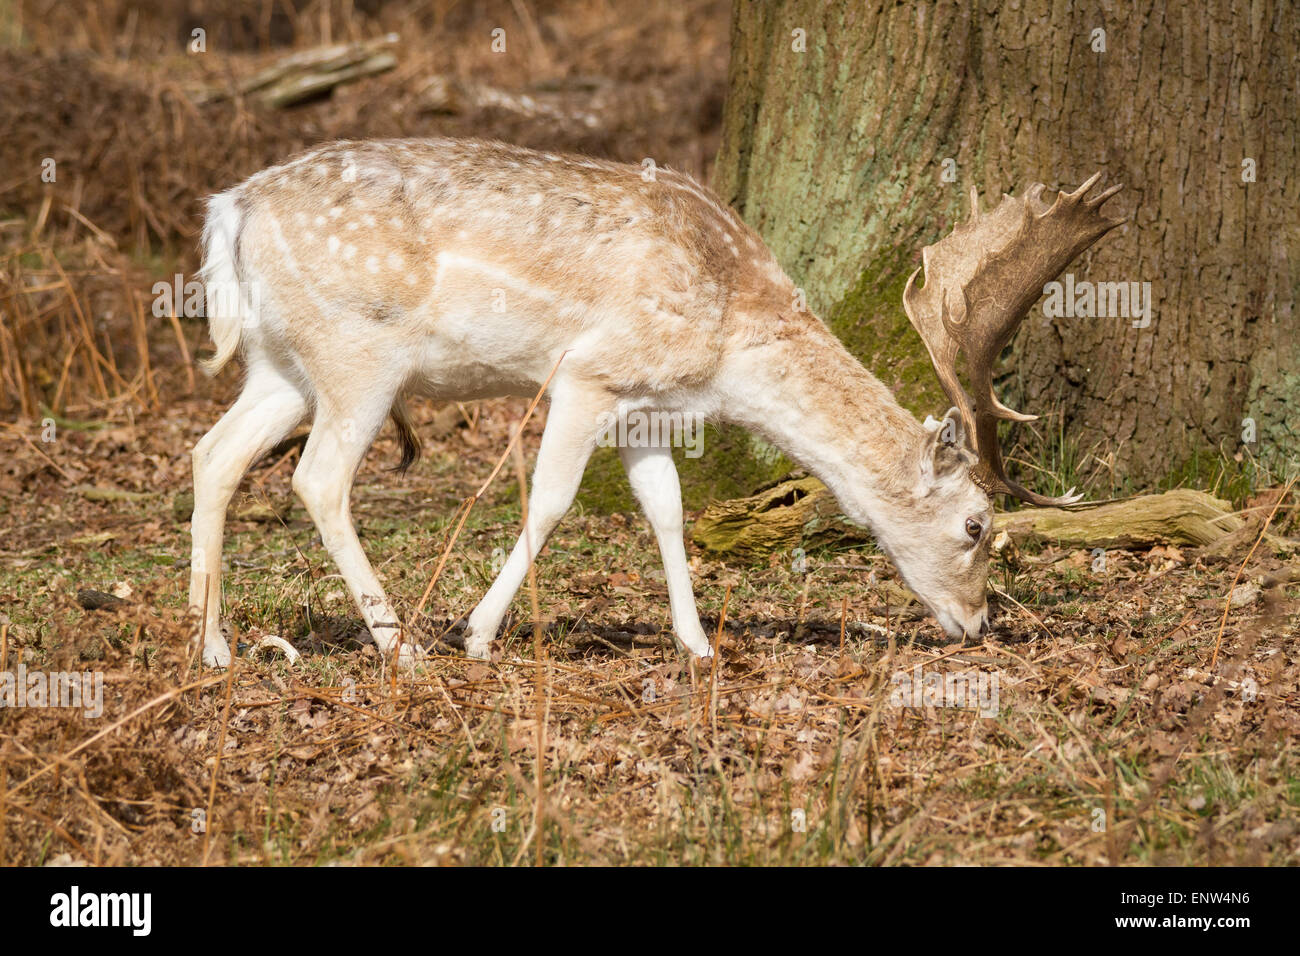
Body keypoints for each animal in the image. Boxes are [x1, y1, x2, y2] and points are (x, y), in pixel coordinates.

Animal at [188, 138, 1123, 671]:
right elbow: (551, 498)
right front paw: (479, 636)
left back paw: (214, 647)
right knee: (317, 479)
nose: (978, 622)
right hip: (360, 352)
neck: (727, 336)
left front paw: (698, 644)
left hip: (281, 364)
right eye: (976, 525)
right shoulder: (590, 372)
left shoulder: (646, 406)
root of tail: (229, 208)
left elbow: (667, 509)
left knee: (213, 454)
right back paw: (402, 645)